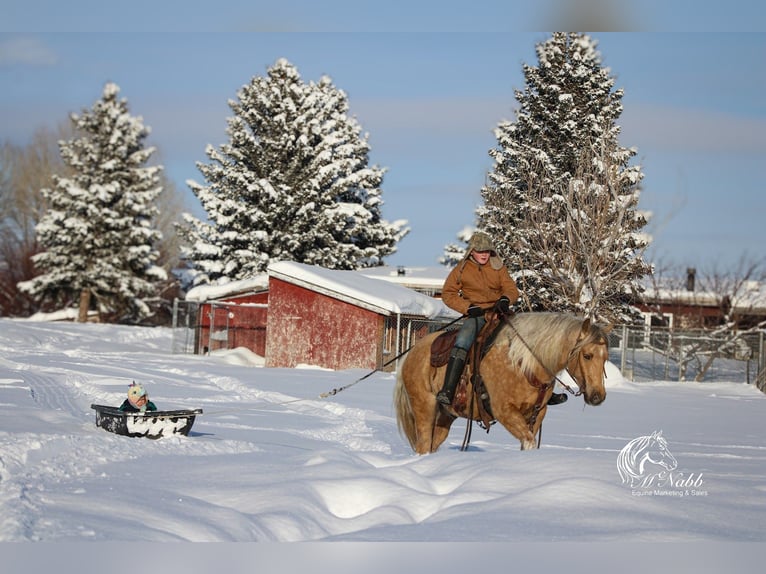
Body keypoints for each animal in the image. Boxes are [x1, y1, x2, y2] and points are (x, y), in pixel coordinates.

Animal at [394, 312, 610, 454]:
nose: (598, 396)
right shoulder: (505, 412)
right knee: (423, 446)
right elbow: (529, 442)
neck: (524, 363)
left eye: (605, 357)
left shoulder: (537, 414)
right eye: (587, 355)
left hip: (446, 416)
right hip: (425, 408)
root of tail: (411, 353)